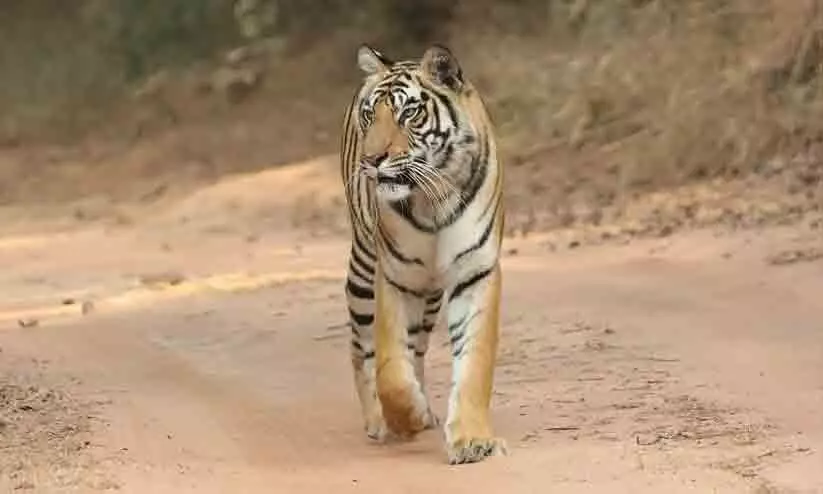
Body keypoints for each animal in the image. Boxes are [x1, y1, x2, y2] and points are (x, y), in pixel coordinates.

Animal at [340, 44, 506, 465]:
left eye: (408, 113)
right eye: (371, 114)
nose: (372, 159)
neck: (434, 200)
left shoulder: (475, 273)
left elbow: (474, 363)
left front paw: (472, 441)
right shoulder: (394, 277)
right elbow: (390, 370)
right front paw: (408, 416)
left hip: (429, 294)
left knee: (416, 347)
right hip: (363, 271)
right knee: (361, 349)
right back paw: (378, 420)